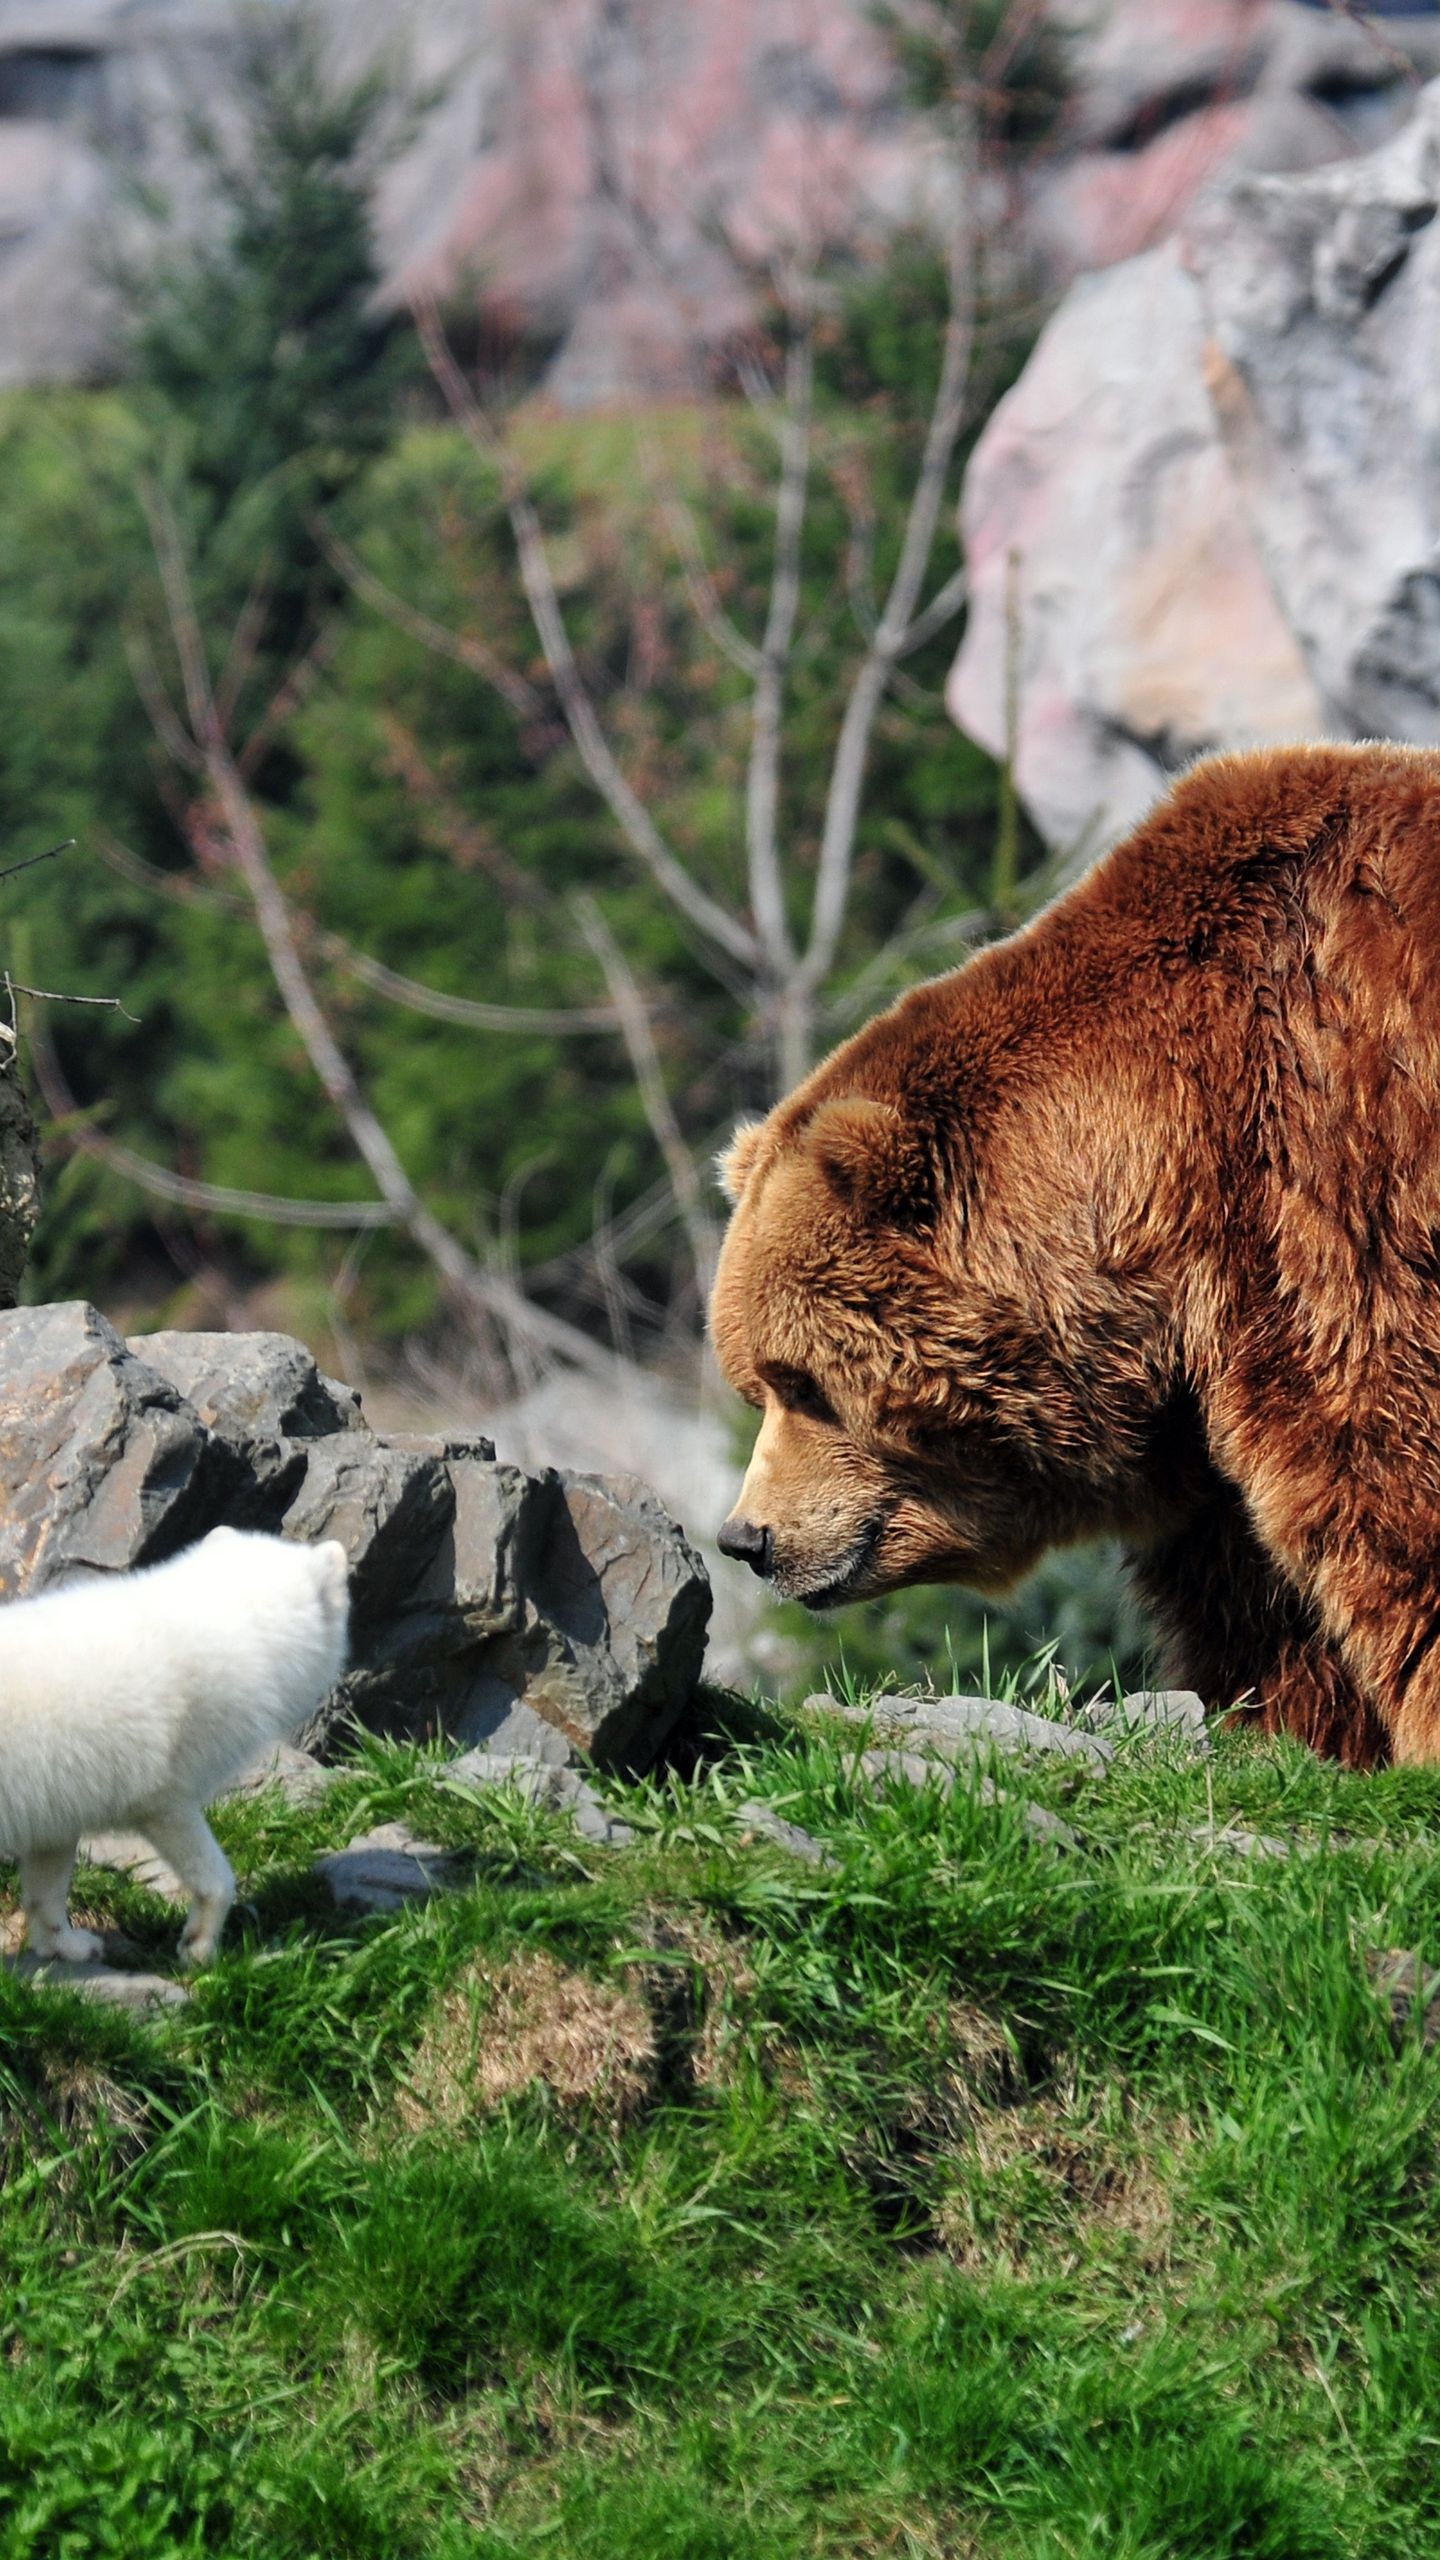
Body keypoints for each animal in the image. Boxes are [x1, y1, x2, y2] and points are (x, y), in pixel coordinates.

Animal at [0, 1525, 348, 1966]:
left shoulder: (56, 1786)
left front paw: (68, 1943)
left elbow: (48, 1866)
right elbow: (200, 1854)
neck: (221, 1620)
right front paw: (198, 1945)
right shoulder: (167, 1782)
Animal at [712, 747, 1440, 1771]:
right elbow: (1249, 1583)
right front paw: (1297, 1726)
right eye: (754, 1386)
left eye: (803, 1383)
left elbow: (1380, 1441)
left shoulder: (1329, 1169)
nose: (749, 1538)